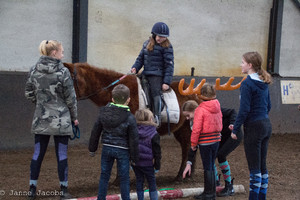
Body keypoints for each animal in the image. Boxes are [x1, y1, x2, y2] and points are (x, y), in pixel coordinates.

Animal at [63, 62, 199, 180]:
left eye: (68, 80)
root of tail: (195, 93)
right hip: (181, 129)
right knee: (187, 147)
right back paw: (186, 175)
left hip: (187, 128)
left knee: (187, 147)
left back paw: (181, 176)